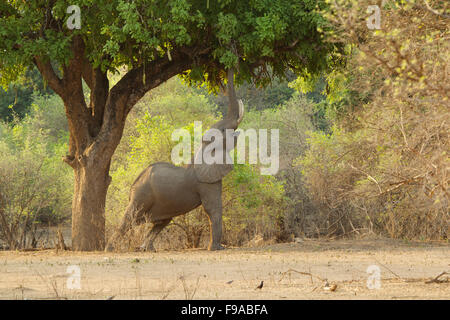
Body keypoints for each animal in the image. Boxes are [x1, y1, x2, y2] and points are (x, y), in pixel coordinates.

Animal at [105, 70, 243, 252]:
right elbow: (212, 209)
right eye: (223, 131)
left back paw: (148, 249)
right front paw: (217, 249)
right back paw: (110, 249)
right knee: (128, 219)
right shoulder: (206, 182)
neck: (202, 149)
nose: (227, 67)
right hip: (141, 195)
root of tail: (133, 185)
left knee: (161, 222)